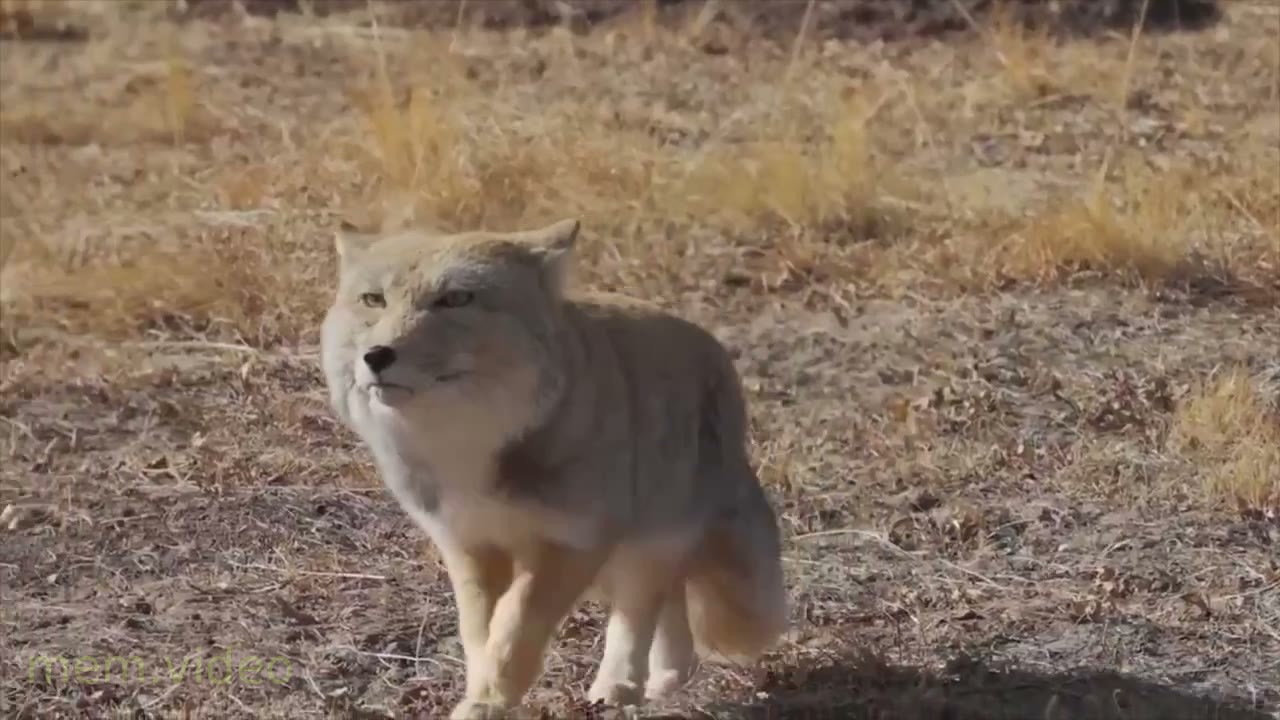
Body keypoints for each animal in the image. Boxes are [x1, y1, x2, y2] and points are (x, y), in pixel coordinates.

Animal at [320, 218, 787, 719]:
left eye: (455, 299)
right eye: (374, 300)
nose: (376, 355)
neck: (467, 450)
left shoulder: (570, 543)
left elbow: (513, 630)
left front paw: (489, 701)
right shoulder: (468, 544)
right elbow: (480, 635)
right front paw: (483, 693)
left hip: (639, 548)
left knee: (642, 609)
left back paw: (620, 686)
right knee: (669, 599)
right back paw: (666, 677)